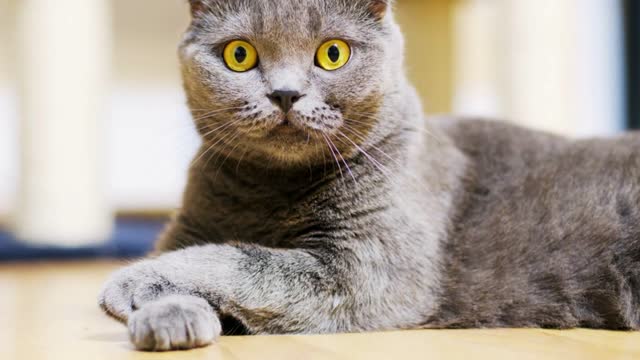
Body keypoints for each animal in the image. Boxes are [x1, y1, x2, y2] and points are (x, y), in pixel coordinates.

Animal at [97, 0, 640, 352]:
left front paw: (133, 283)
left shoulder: (368, 267)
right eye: (239, 55)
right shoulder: (188, 227)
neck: (267, 196)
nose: (286, 94)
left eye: (332, 53)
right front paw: (170, 314)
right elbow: (207, 255)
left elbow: (238, 259)